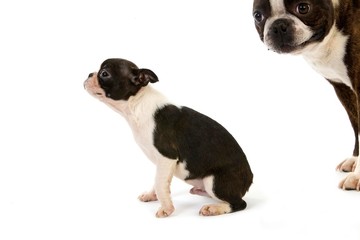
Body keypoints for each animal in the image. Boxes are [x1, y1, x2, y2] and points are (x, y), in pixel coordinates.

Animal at [84, 58, 253, 218]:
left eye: (104, 74)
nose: (89, 74)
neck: (136, 103)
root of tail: (250, 178)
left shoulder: (167, 157)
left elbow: (160, 183)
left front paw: (166, 209)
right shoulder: (161, 164)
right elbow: (158, 181)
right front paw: (151, 196)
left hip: (214, 181)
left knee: (238, 203)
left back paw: (213, 208)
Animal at [252, 0, 360, 191]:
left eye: (303, 8)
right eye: (258, 16)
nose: (278, 25)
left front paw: (357, 177)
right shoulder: (343, 89)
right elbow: (356, 126)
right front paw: (355, 160)